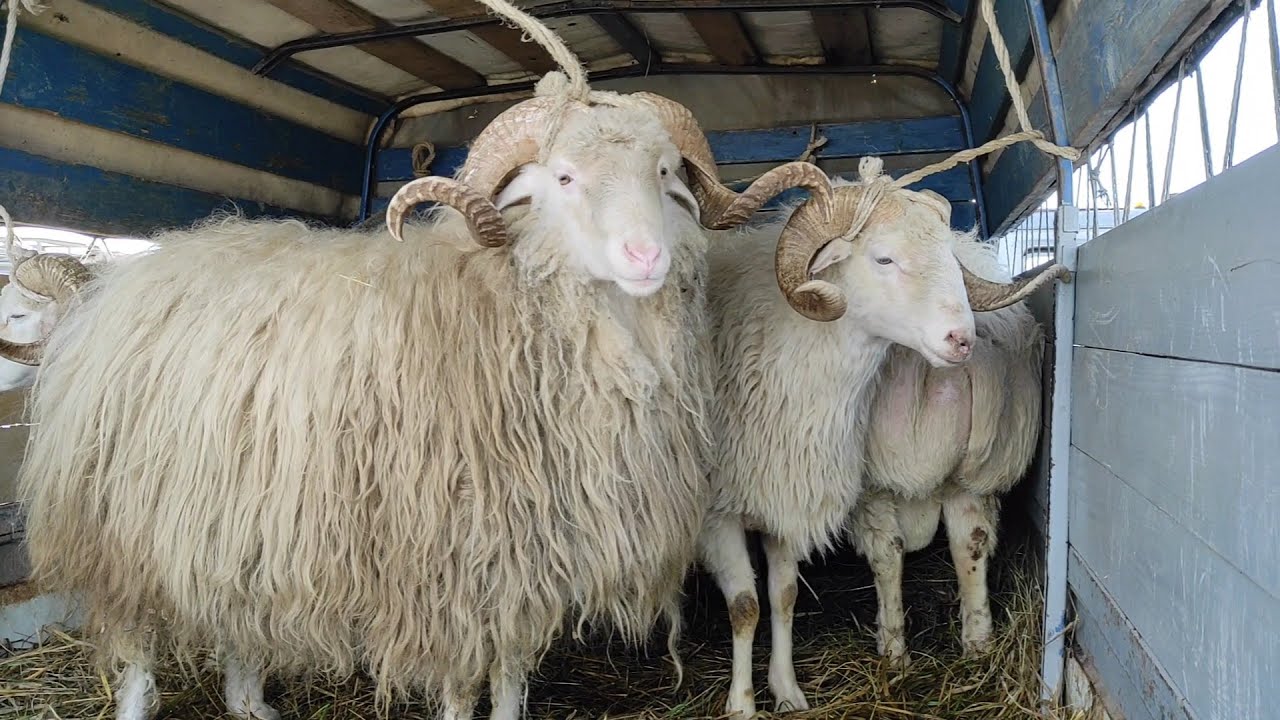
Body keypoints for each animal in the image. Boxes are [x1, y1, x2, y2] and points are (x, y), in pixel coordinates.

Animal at [0, 74, 835, 720]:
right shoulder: (443, 570)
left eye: (666, 173)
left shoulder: (521, 558)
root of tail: (126, 276)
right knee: (136, 642)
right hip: (117, 521)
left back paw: (249, 699)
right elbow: (462, 691)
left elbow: (509, 678)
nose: (646, 256)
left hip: (233, 518)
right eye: (563, 178)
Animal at [850, 237, 1045, 665]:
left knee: (887, 552)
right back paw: (979, 641)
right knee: (970, 540)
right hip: (979, 471)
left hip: (875, 476)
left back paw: (894, 649)